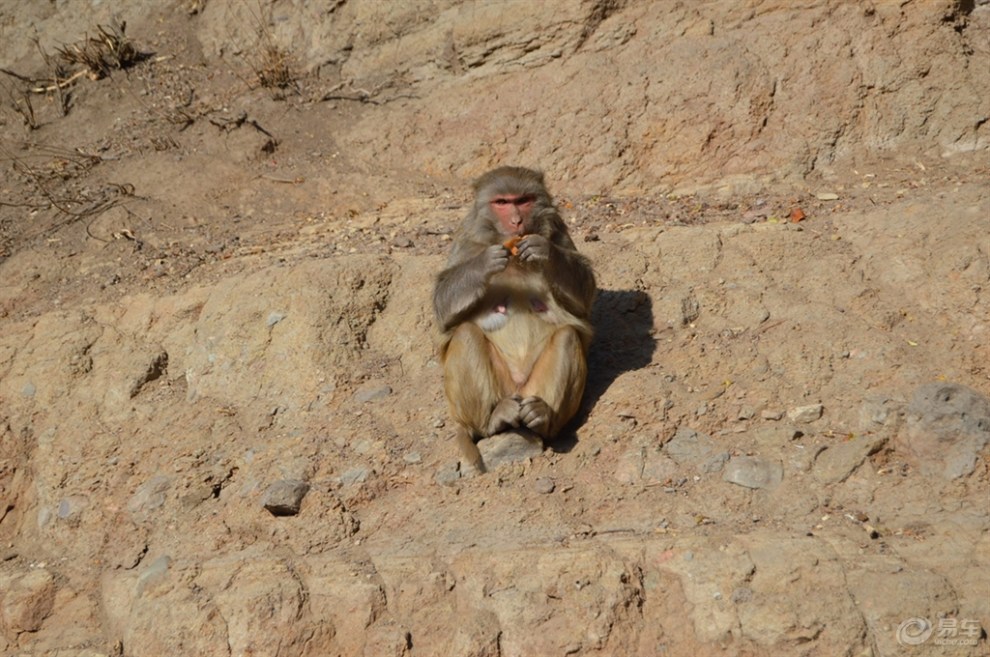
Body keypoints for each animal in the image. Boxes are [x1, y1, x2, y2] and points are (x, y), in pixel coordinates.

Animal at [434, 167, 596, 468]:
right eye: (502, 202)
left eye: (523, 200)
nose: (517, 221)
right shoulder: (466, 240)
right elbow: (442, 302)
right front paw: (485, 263)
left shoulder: (558, 231)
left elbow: (583, 298)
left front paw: (544, 252)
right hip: (495, 392)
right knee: (466, 334)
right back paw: (492, 420)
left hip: (531, 390)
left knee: (567, 337)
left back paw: (542, 418)